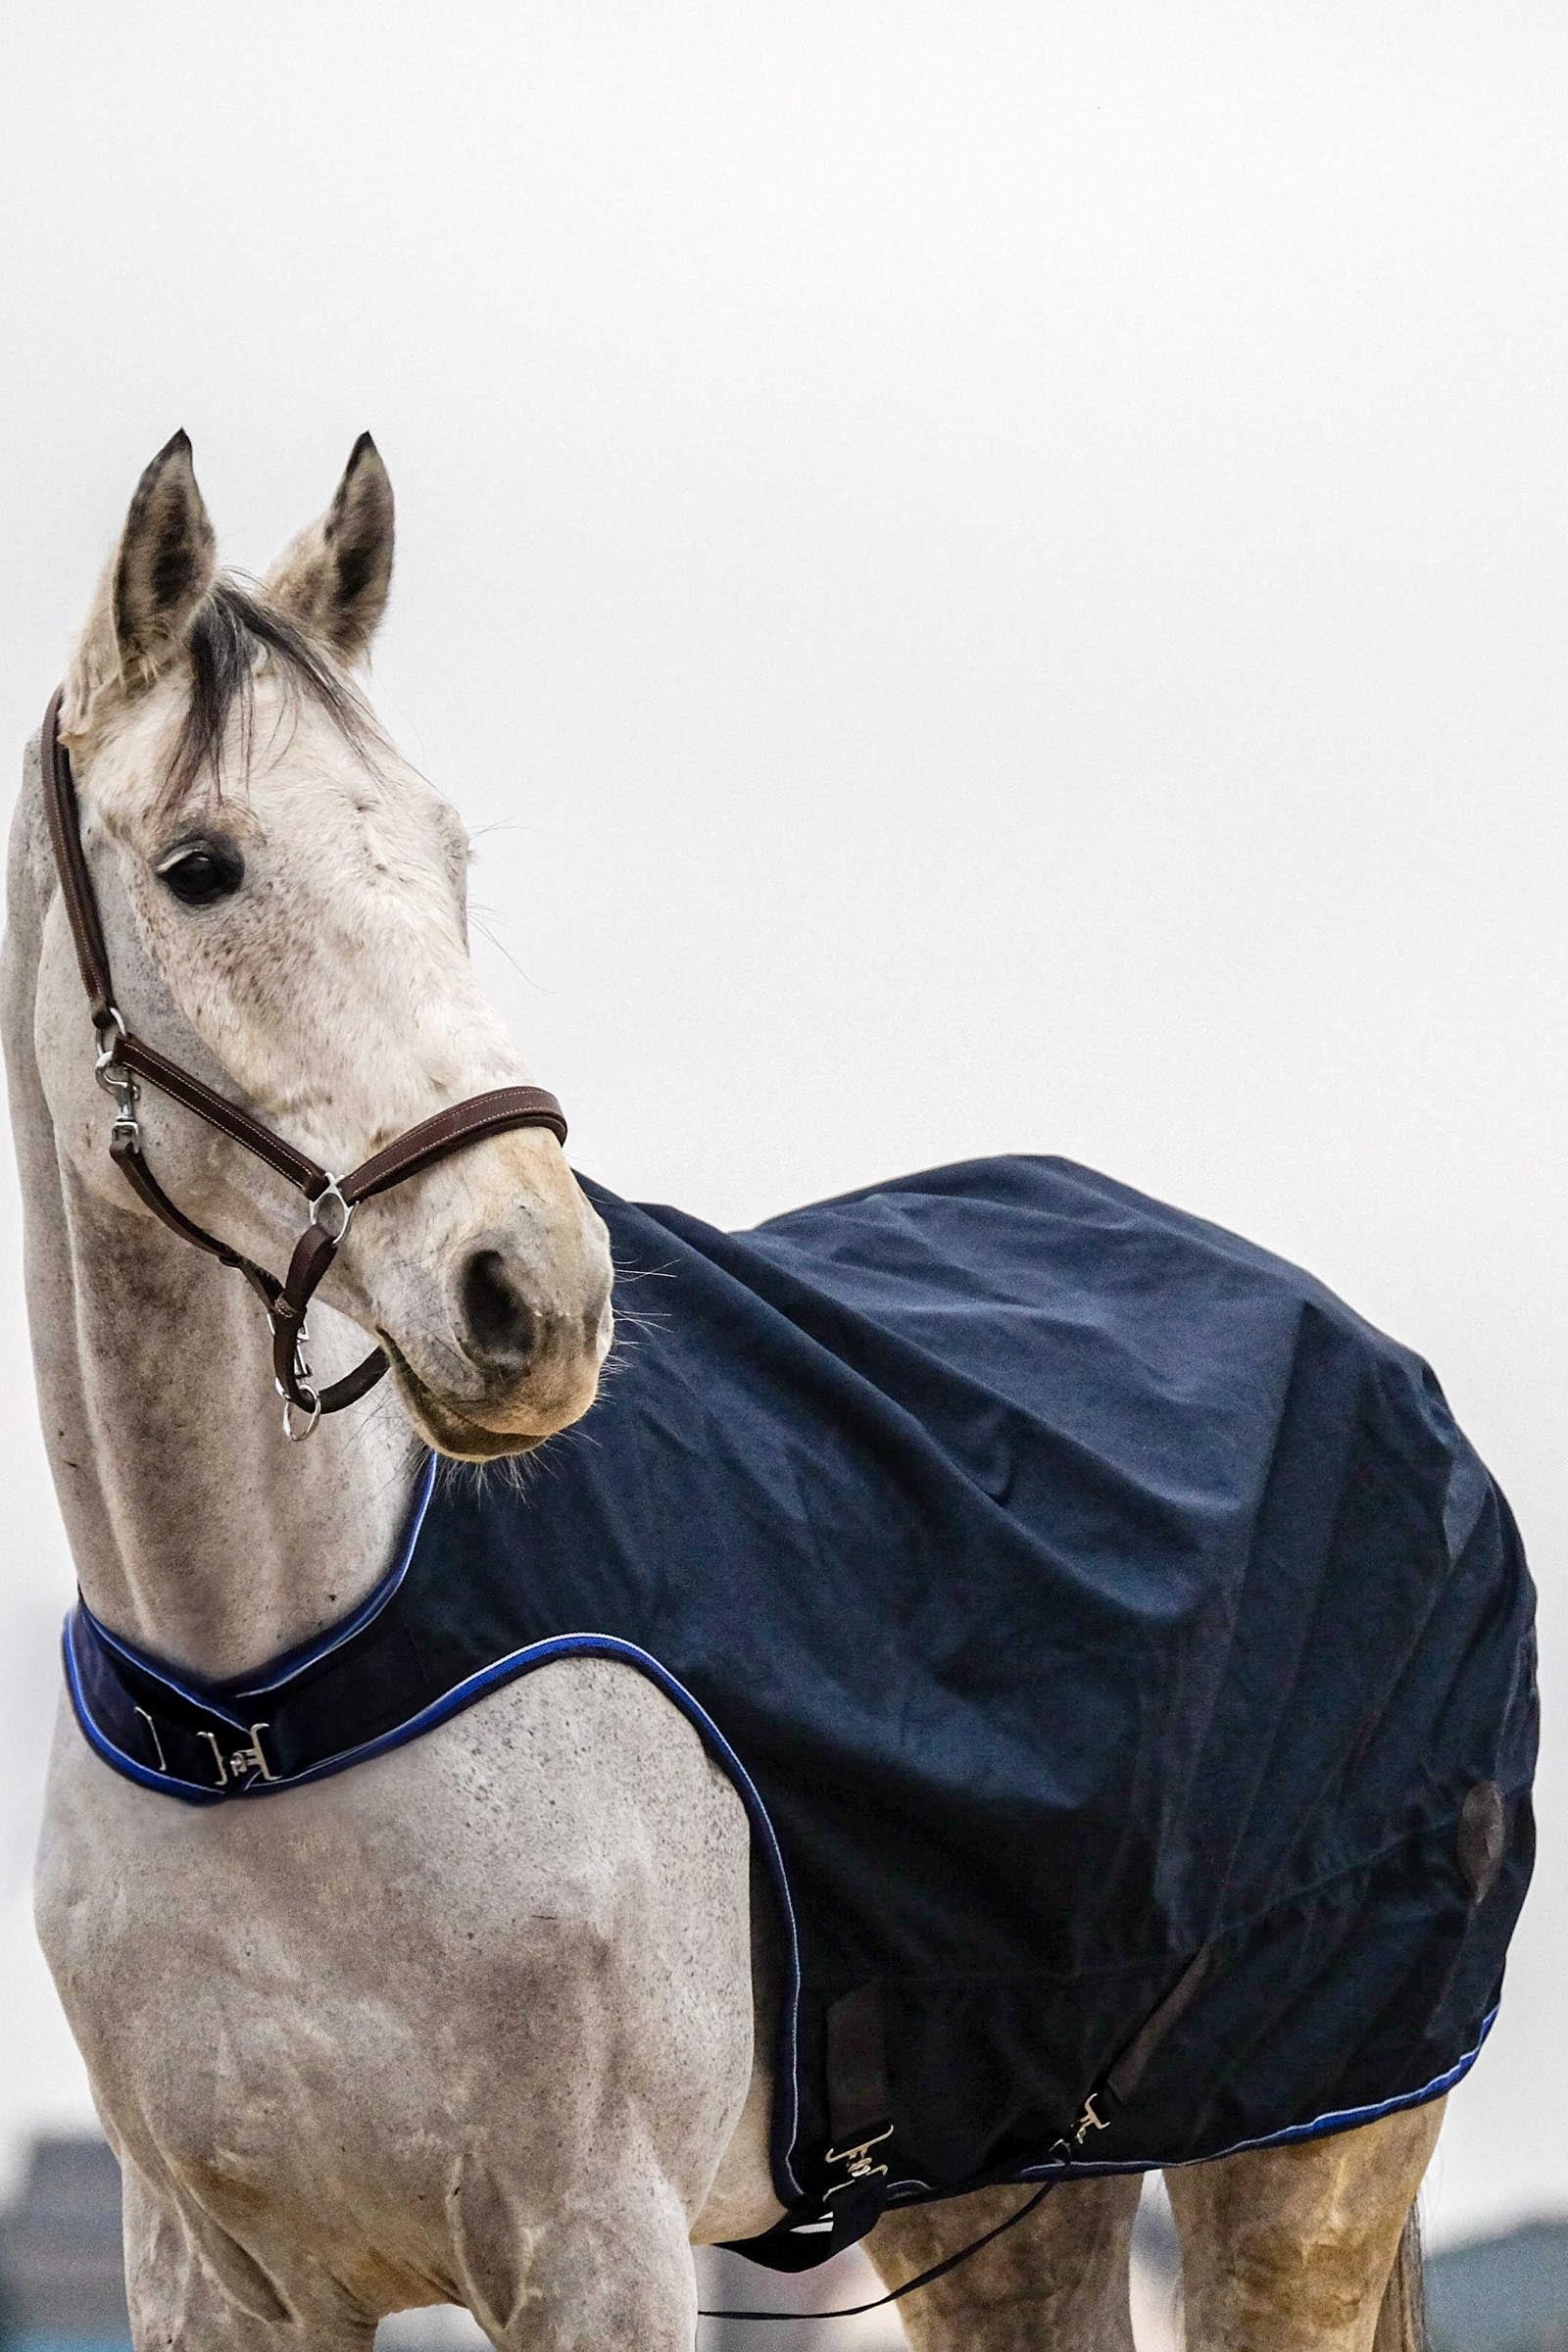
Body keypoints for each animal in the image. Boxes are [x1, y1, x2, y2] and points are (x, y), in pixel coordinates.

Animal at [3, 432, 1460, 2352]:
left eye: (448, 856)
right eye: (199, 867)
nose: (535, 1295)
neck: (260, 1711)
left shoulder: (597, 2250)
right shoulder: (212, 2278)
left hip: (1302, 2169)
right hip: (1001, 2184)